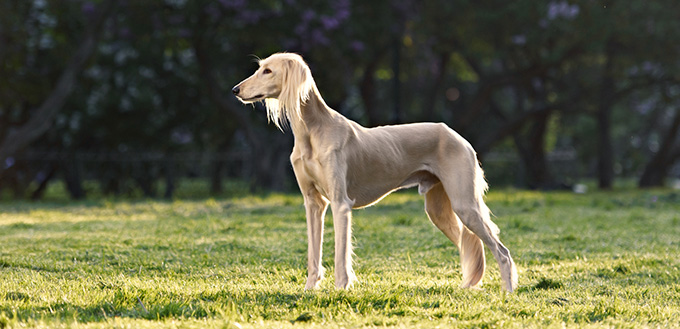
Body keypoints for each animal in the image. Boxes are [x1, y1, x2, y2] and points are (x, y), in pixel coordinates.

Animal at [231, 52, 516, 290]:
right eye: (259, 68)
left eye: (268, 71)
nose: (235, 90)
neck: (312, 132)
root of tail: (458, 137)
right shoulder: (313, 203)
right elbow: (313, 255)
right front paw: (309, 291)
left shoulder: (340, 204)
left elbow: (341, 256)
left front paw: (341, 290)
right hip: (439, 209)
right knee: (473, 246)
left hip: (464, 204)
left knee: (501, 251)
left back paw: (508, 292)